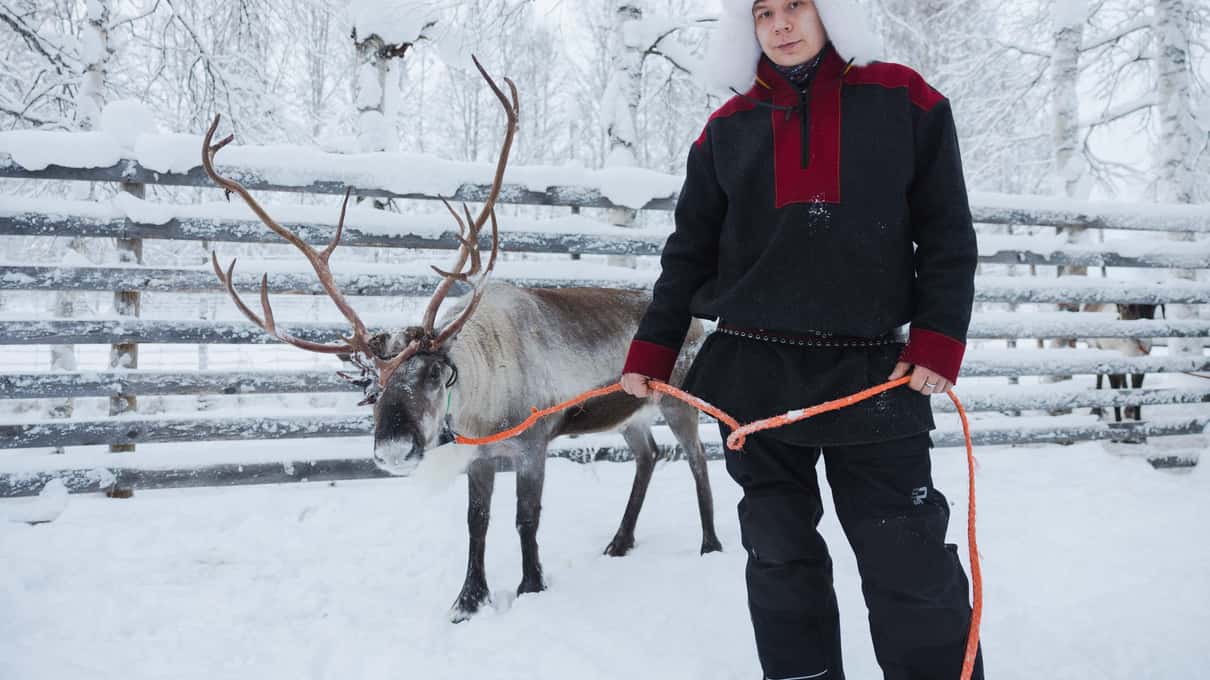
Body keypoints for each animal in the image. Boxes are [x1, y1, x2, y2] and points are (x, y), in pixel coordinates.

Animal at [200, 58, 722, 622]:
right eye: (372, 388)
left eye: (433, 373)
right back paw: (620, 542)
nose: (394, 450)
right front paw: (469, 599)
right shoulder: (482, 457)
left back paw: (710, 544)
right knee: (648, 456)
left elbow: (526, 519)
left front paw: (531, 586)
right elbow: (477, 523)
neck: (483, 401)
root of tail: (699, 323)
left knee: (696, 461)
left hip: (679, 403)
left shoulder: (532, 446)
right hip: (631, 414)